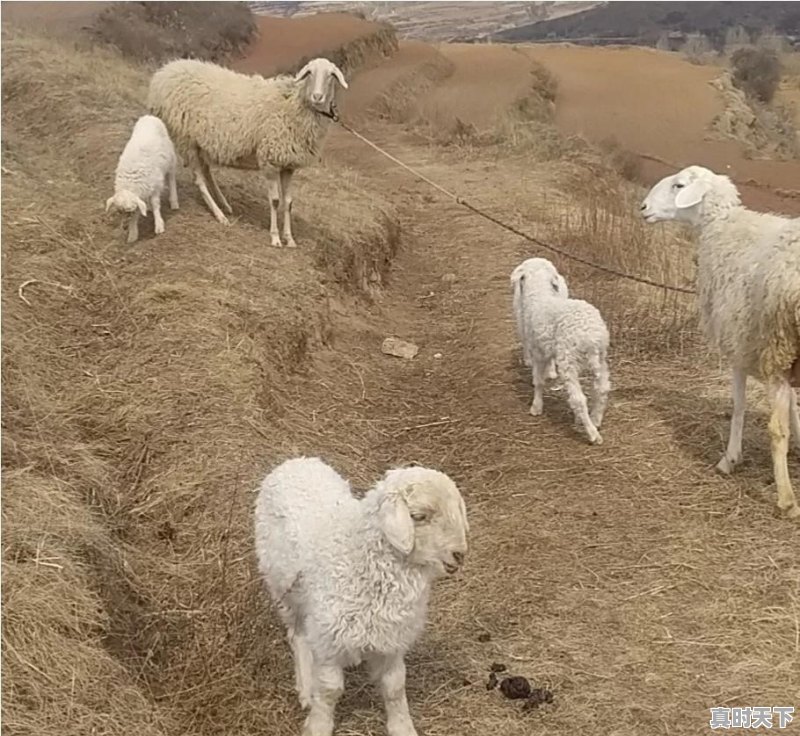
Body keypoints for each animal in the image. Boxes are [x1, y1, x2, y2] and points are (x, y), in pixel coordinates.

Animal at [104, 113, 178, 243]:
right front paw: (132, 235)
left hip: (170, 158)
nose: (124, 227)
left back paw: (174, 201)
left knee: (172, 178)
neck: (130, 181)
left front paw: (159, 225)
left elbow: (155, 204)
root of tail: (149, 116)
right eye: (119, 212)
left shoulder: (156, 185)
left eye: (130, 211)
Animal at [147, 57, 346, 247]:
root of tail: (165, 72)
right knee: (200, 181)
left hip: (200, 143)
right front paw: (275, 237)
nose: (317, 96)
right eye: (310, 72)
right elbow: (275, 201)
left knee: (206, 171)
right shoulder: (270, 160)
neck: (294, 103)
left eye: (331, 75)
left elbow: (288, 203)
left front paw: (289, 239)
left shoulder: (288, 165)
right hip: (185, 139)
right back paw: (220, 215)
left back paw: (224, 204)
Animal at [255, 458, 468, 736]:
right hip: (283, 588)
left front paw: (402, 727)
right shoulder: (329, 637)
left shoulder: (391, 640)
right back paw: (306, 686)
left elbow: (395, 686)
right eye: (419, 516)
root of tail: (296, 461)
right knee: (298, 635)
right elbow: (330, 689)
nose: (459, 554)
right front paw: (318, 725)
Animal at [512, 256, 612, 446]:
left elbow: (538, 381)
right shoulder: (546, 347)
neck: (540, 294)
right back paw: (596, 420)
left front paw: (536, 407)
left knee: (578, 399)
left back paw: (592, 433)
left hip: (569, 361)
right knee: (602, 388)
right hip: (601, 358)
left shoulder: (538, 352)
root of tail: (591, 337)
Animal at [640, 164, 800, 520]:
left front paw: (730, 459)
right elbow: (795, 407)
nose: (642, 208)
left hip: (776, 347)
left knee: (775, 430)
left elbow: (740, 407)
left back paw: (786, 499)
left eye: (679, 186)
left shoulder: (741, 346)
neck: (722, 228)